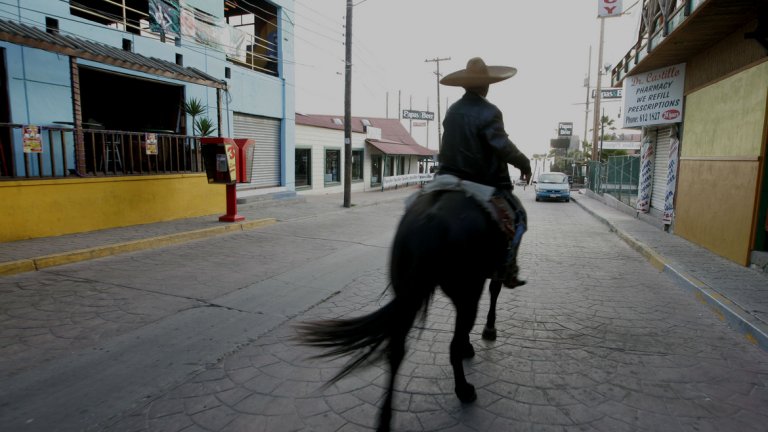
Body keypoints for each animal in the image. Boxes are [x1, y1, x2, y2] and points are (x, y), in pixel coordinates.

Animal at [296, 190, 512, 432]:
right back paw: (464, 390)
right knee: (454, 342)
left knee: (396, 350)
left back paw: (385, 419)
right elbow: (494, 292)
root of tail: (431, 221)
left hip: (408, 292)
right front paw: (488, 330)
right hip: (465, 289)